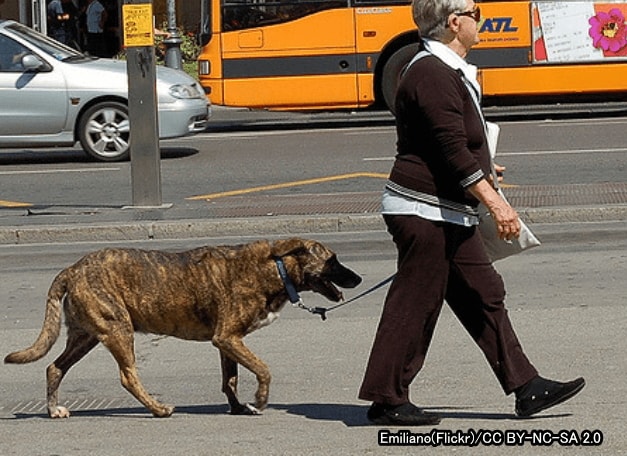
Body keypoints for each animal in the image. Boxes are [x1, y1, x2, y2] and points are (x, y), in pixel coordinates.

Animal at [4, 239, 360, 420]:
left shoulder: (227, 342)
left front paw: (237, 407)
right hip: (118, 330)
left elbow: (230, 379)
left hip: (86, 335)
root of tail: (72, 268)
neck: (277, 267)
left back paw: (53, 409)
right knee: (128, 376)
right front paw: (259, 401)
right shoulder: (228, 337)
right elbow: (264, 370)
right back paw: (158, 409)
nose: (358, 279)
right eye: (332, 260)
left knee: (54, 367)